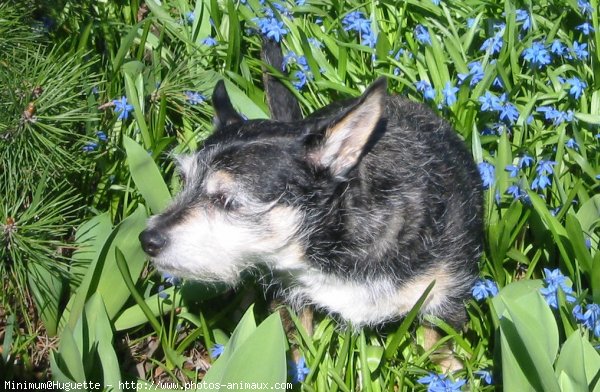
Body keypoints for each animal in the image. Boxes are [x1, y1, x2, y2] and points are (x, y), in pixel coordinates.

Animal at [139, 45, 482, 352]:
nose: (147, 240)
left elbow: (437, 353)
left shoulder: (445, 302)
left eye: (227, 200)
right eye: (185, 181)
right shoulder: (292, 297)